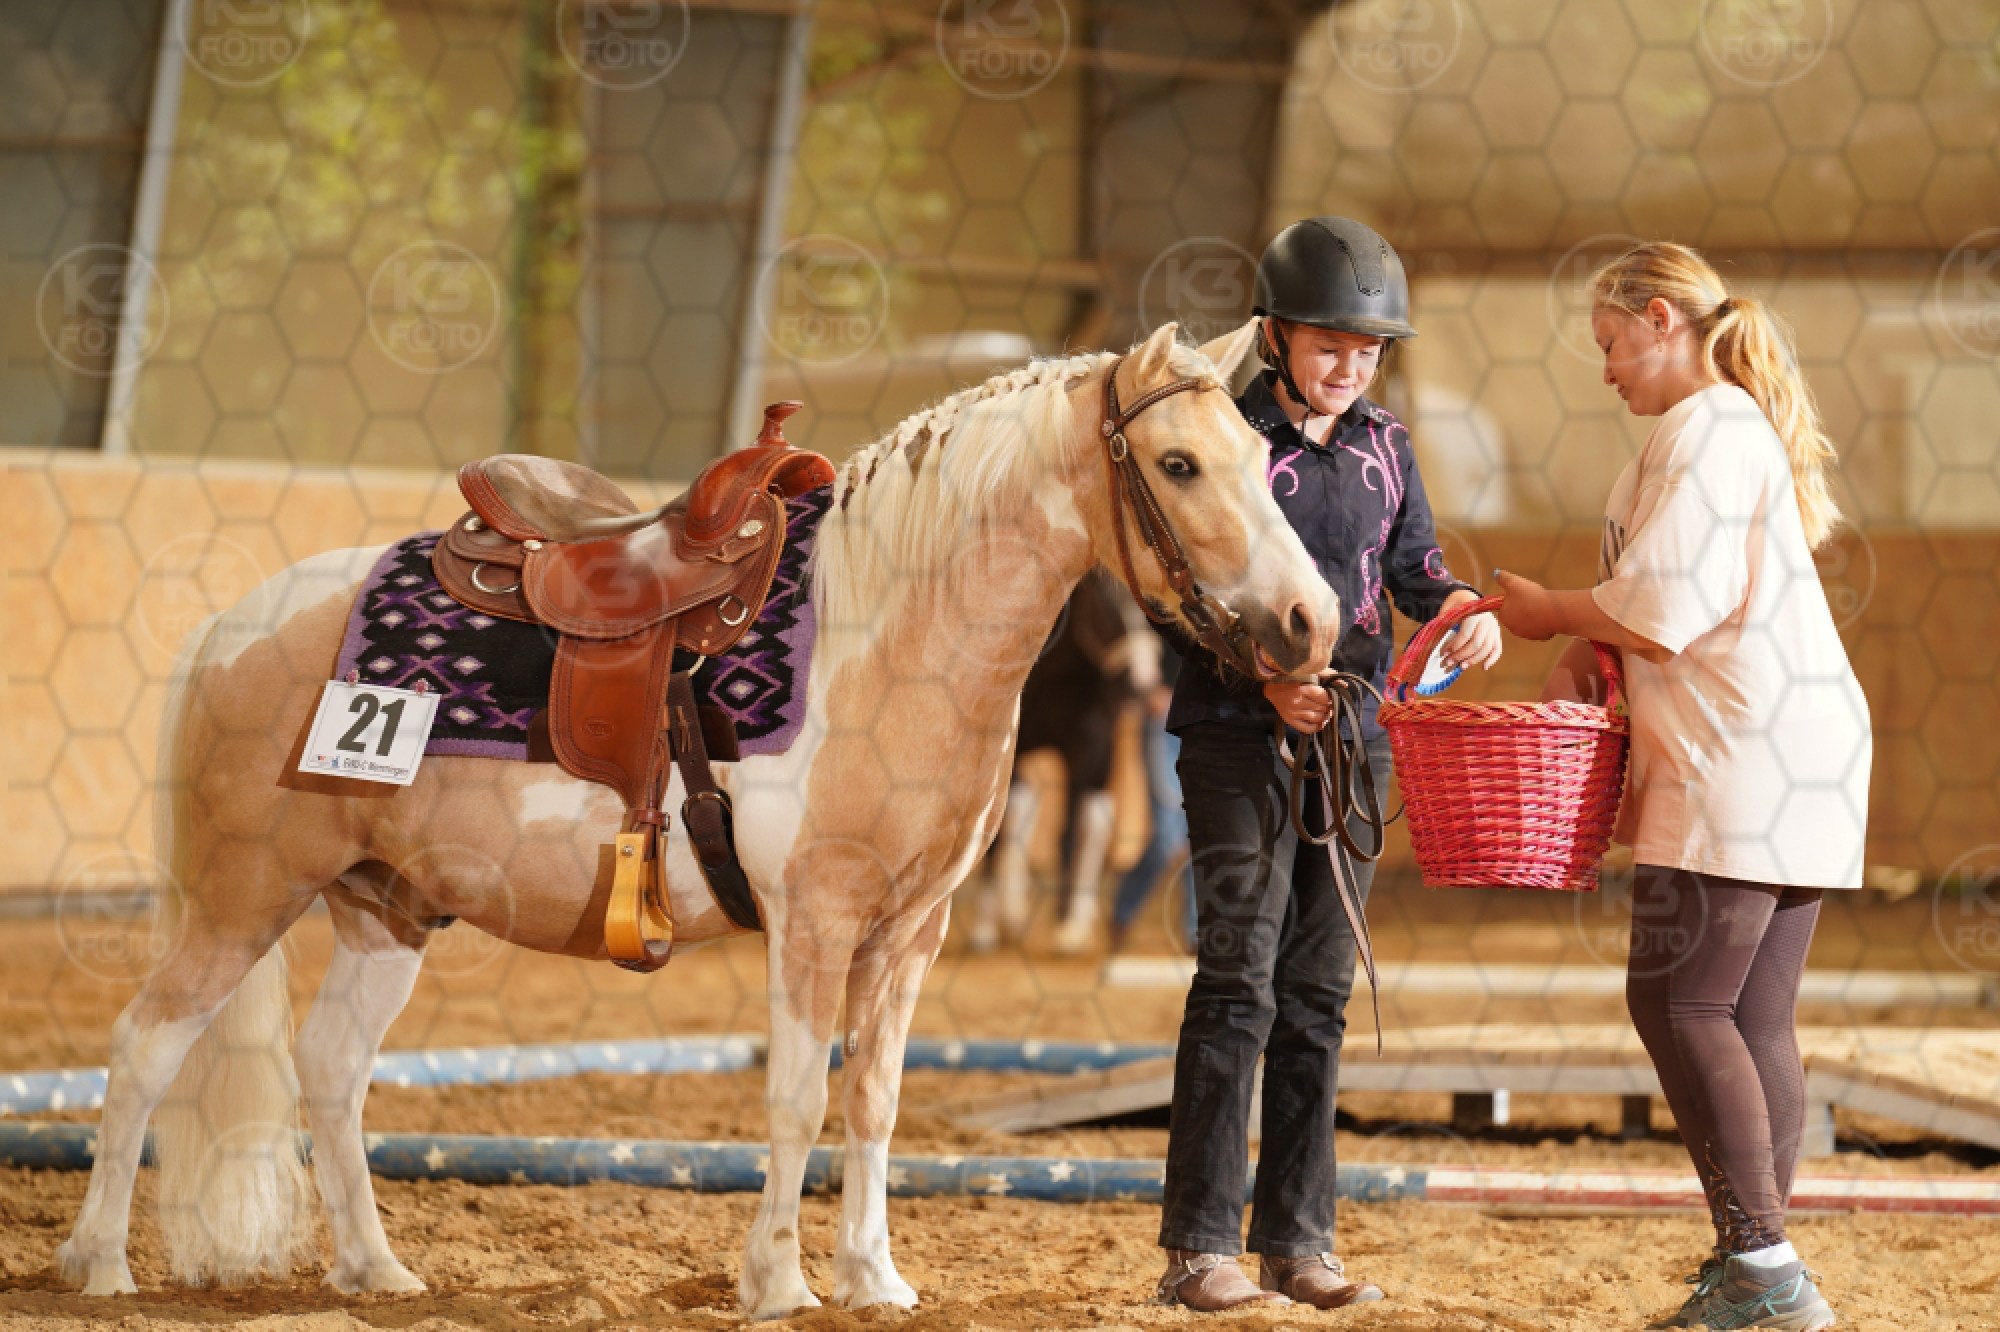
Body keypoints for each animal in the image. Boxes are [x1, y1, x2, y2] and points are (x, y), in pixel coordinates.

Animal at [55, 320, 1341, 1319]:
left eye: (1258, 452)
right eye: (1177, 462)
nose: (1308, 623)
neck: (889, 632)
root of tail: (233, 622)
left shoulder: (908, 931)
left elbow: (874, 1100)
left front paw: (873, 1280)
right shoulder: (814, 922)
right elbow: (797, 1096)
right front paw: (778, 1284)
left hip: (389, 909)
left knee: (329, 1070)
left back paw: (375, 1271)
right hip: (243, 895)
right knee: (146, 1043)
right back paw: (100, 1264)